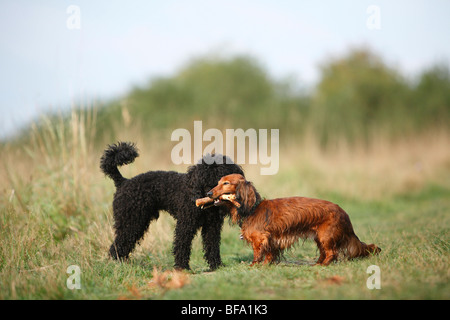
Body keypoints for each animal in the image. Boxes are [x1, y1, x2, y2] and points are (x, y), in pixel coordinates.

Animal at [100, 142, 244, 270]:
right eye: (204, 179)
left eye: (222, 179)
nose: (209, 194)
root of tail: (123, 182)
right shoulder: (185, 224)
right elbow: (182, 244)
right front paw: (182, 267)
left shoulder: (212, 227)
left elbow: (212, 246)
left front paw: (216, 265)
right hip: (131, 221)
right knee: (119, 244)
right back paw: (116, 264)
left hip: (137, 222)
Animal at [205, 174, 380, 266]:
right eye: (218, 182)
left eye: (226, 183)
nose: (208, 193)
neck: (252, 208)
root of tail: (344, 213)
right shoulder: (272, 239)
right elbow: (269, 254)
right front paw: (267, 264)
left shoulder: (260, 239)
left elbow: (257, 253)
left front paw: (254, 265)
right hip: (319, 237)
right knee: (324, 252)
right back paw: (317, 263)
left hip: (326, 236)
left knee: (332, 253)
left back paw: (322, 266)